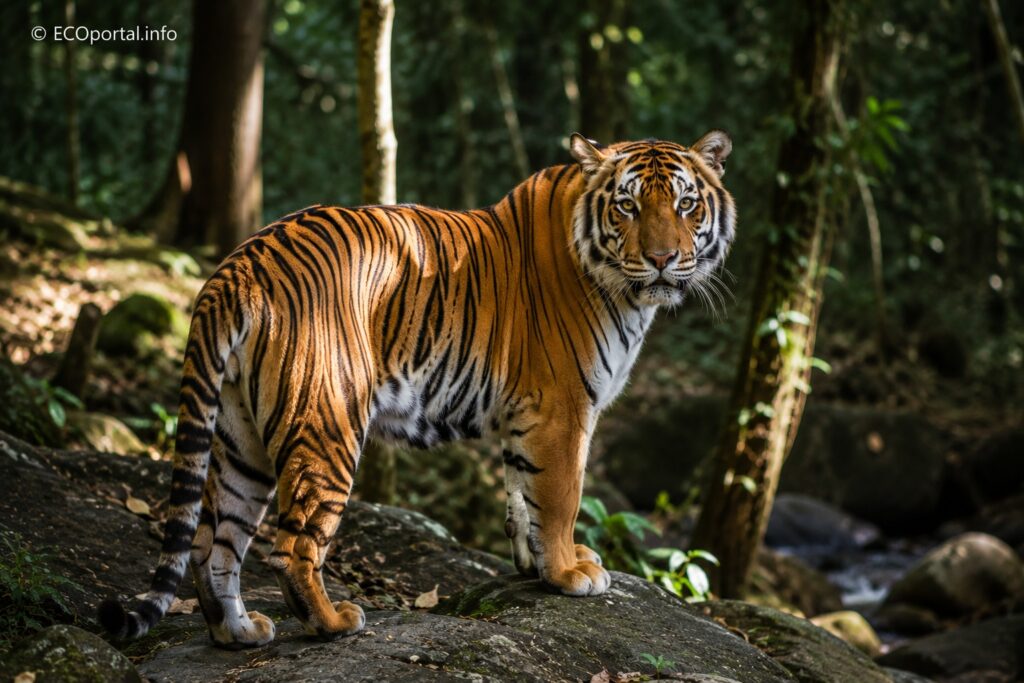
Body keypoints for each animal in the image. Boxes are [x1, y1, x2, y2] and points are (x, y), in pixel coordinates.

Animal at [99, 131, 735, 648]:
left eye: (685, 204)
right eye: (628, 205)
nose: (663, 259)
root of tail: (237, 264)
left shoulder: (523, 417)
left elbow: (520, 496)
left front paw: (535, 567)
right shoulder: (562, 409)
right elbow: (559, 498)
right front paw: (568, 574)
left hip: (240, 438)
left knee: (213, 543)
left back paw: (239, 633)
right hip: (327, 424)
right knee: (292, 546)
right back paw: (333, 623)